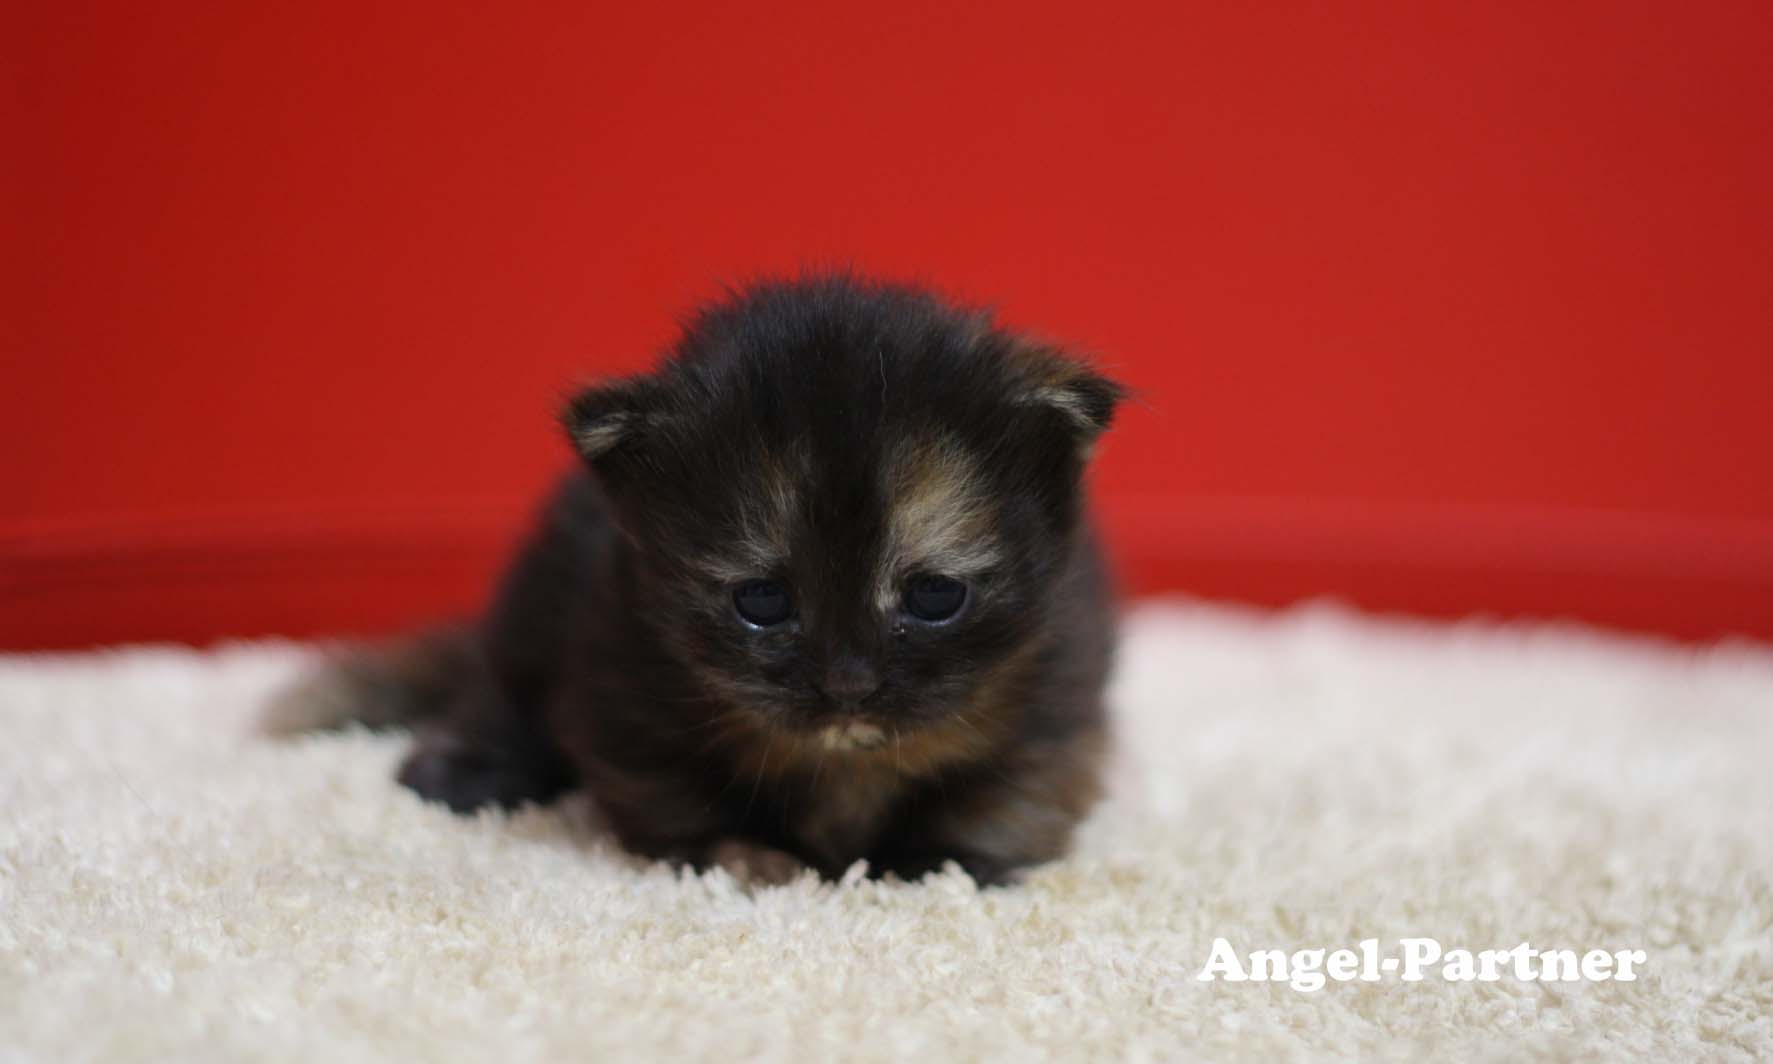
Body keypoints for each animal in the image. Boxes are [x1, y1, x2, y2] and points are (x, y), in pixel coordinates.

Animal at [262, 276, 1120, 890]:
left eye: (935, 596)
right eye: (762, 601)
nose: (849, 686)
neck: (844, 762)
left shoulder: (1055, 698)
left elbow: (1009, 793)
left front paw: (938, 861)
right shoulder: (622, 686)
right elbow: (677, 800)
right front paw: (745, 855)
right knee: (493, 694)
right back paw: (468, 768)